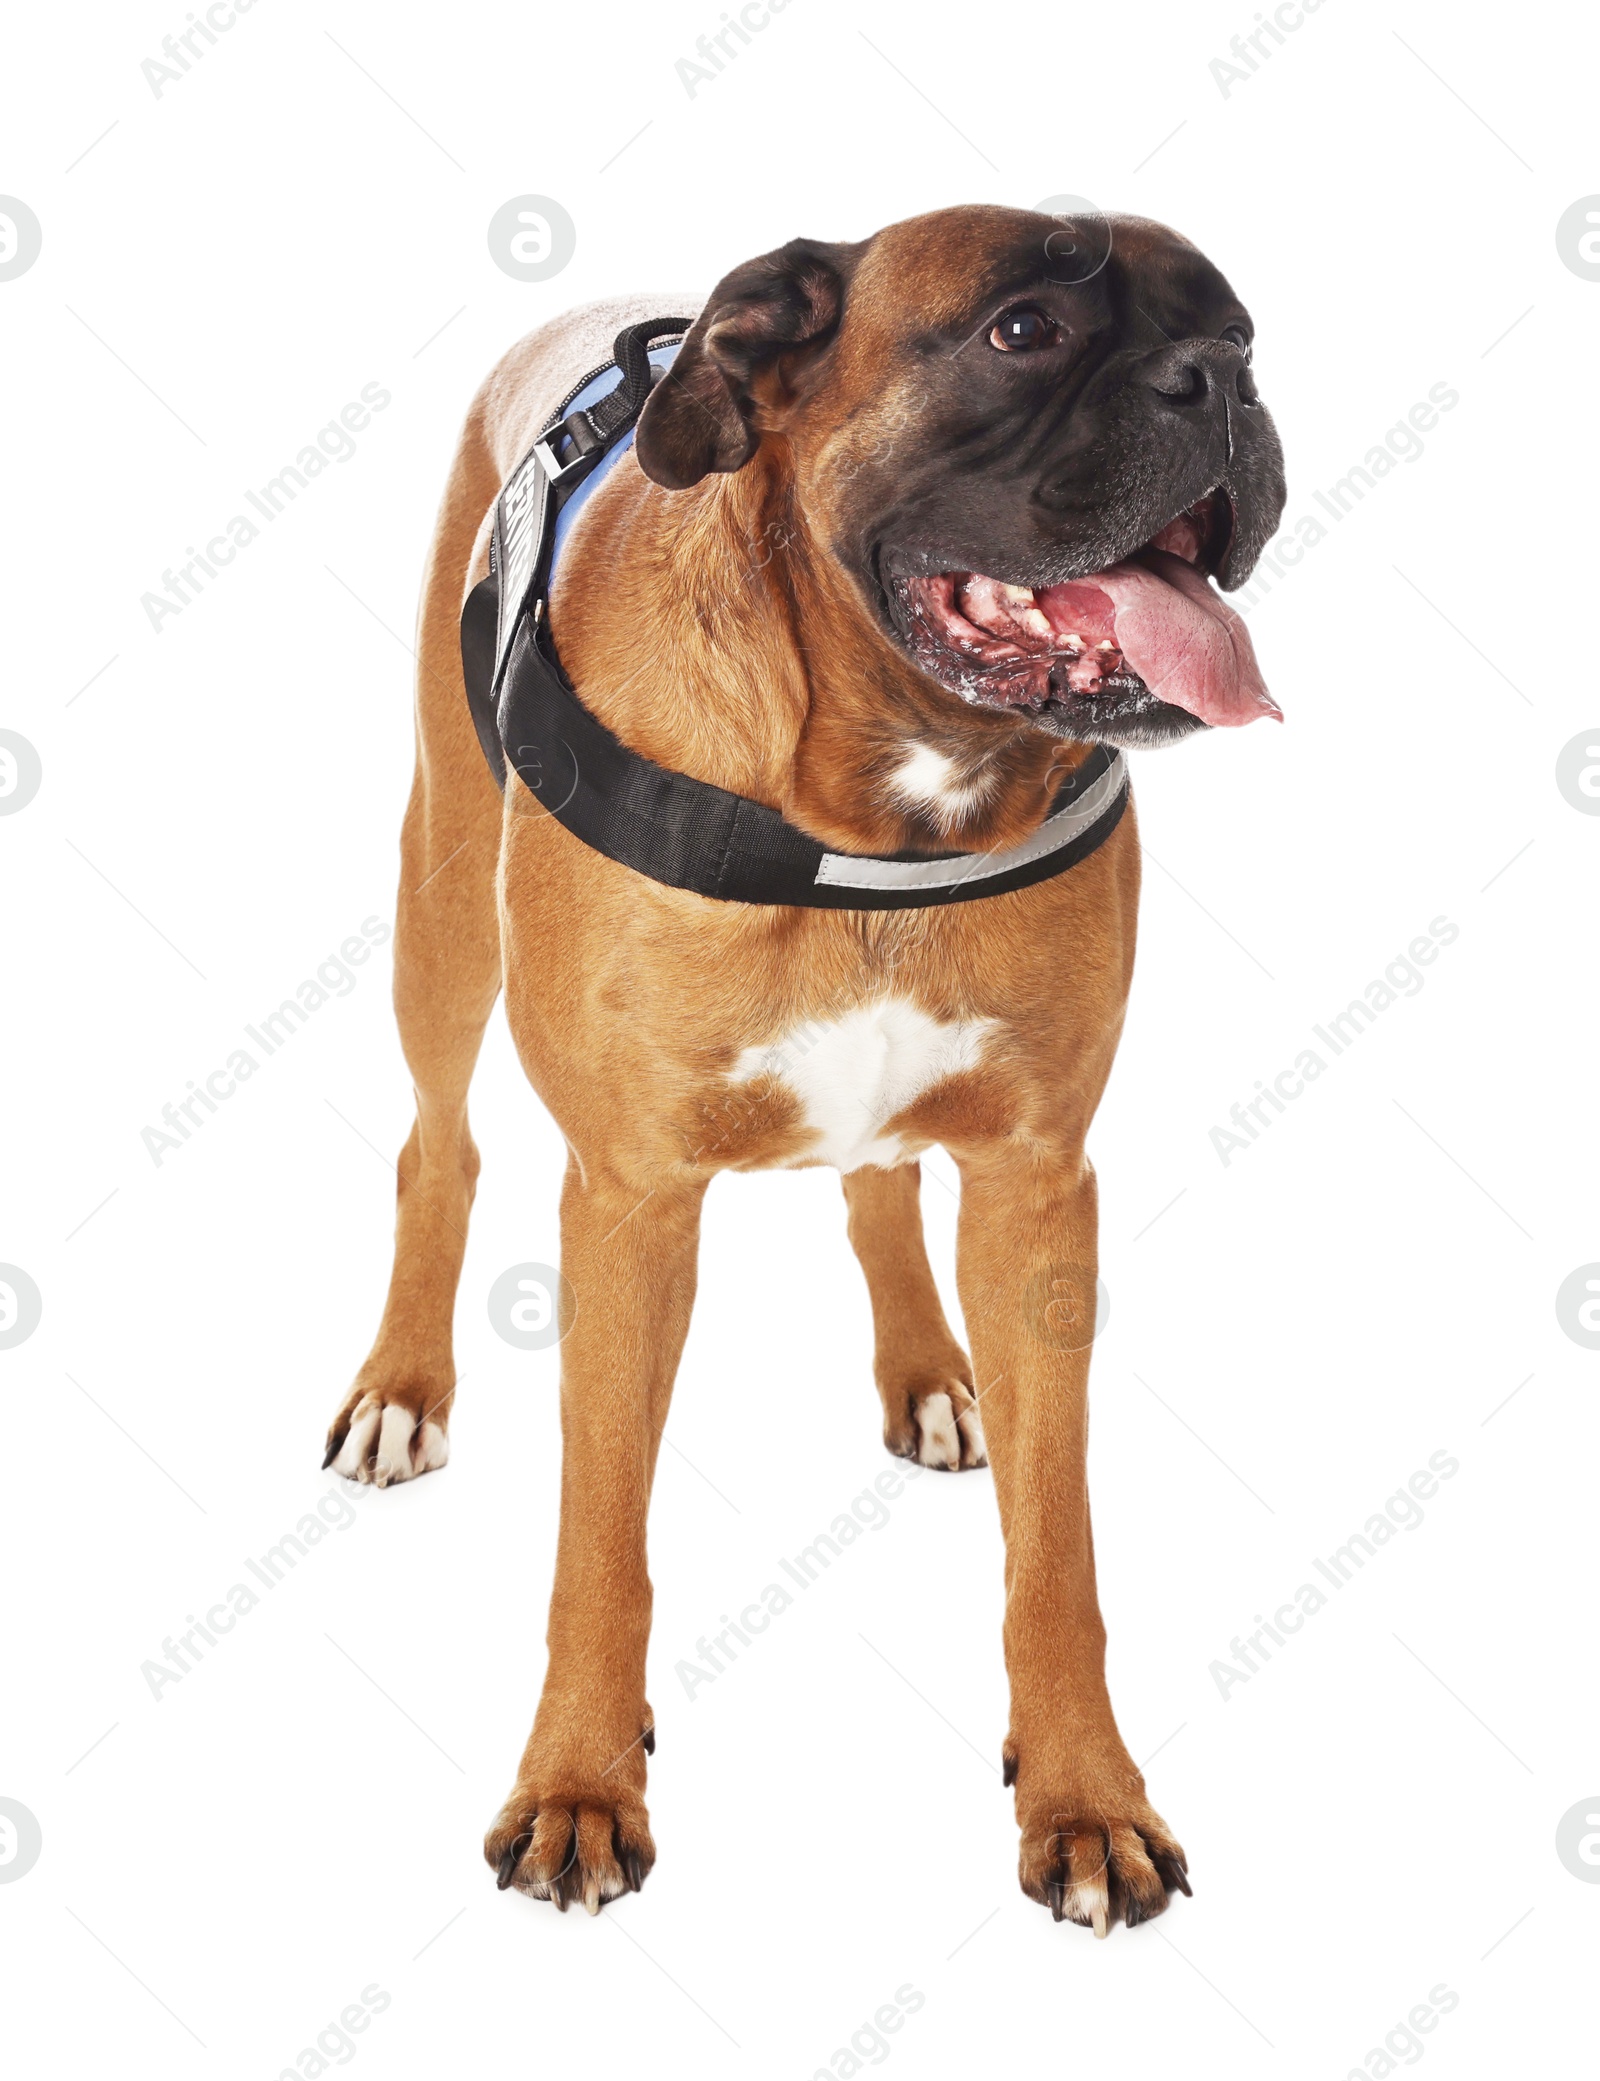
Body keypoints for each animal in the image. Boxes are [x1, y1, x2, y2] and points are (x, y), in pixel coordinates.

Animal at [320, 207, 1281, 1931]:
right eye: (1023, 330)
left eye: (1242, 330)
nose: (1218, 383)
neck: (887, 788)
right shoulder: (629, 1203)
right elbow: (600, 1544)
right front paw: (580, 1784)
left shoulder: (1038, 1187)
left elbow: (1059, 1556)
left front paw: (1086, 1796)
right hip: (440, 900)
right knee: (440, 1139)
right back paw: (401, 1391)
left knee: (878, 1188)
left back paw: (931, 1372)